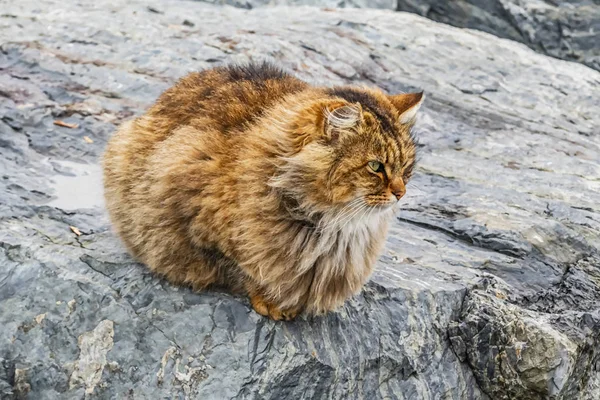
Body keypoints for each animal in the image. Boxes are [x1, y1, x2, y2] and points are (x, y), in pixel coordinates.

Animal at [102, 61, 422, 320]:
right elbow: (242, 269)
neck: (332, 225)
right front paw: (270, 301)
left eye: (406, 167)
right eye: (375, 166)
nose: (401, 193)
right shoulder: (189, 207)